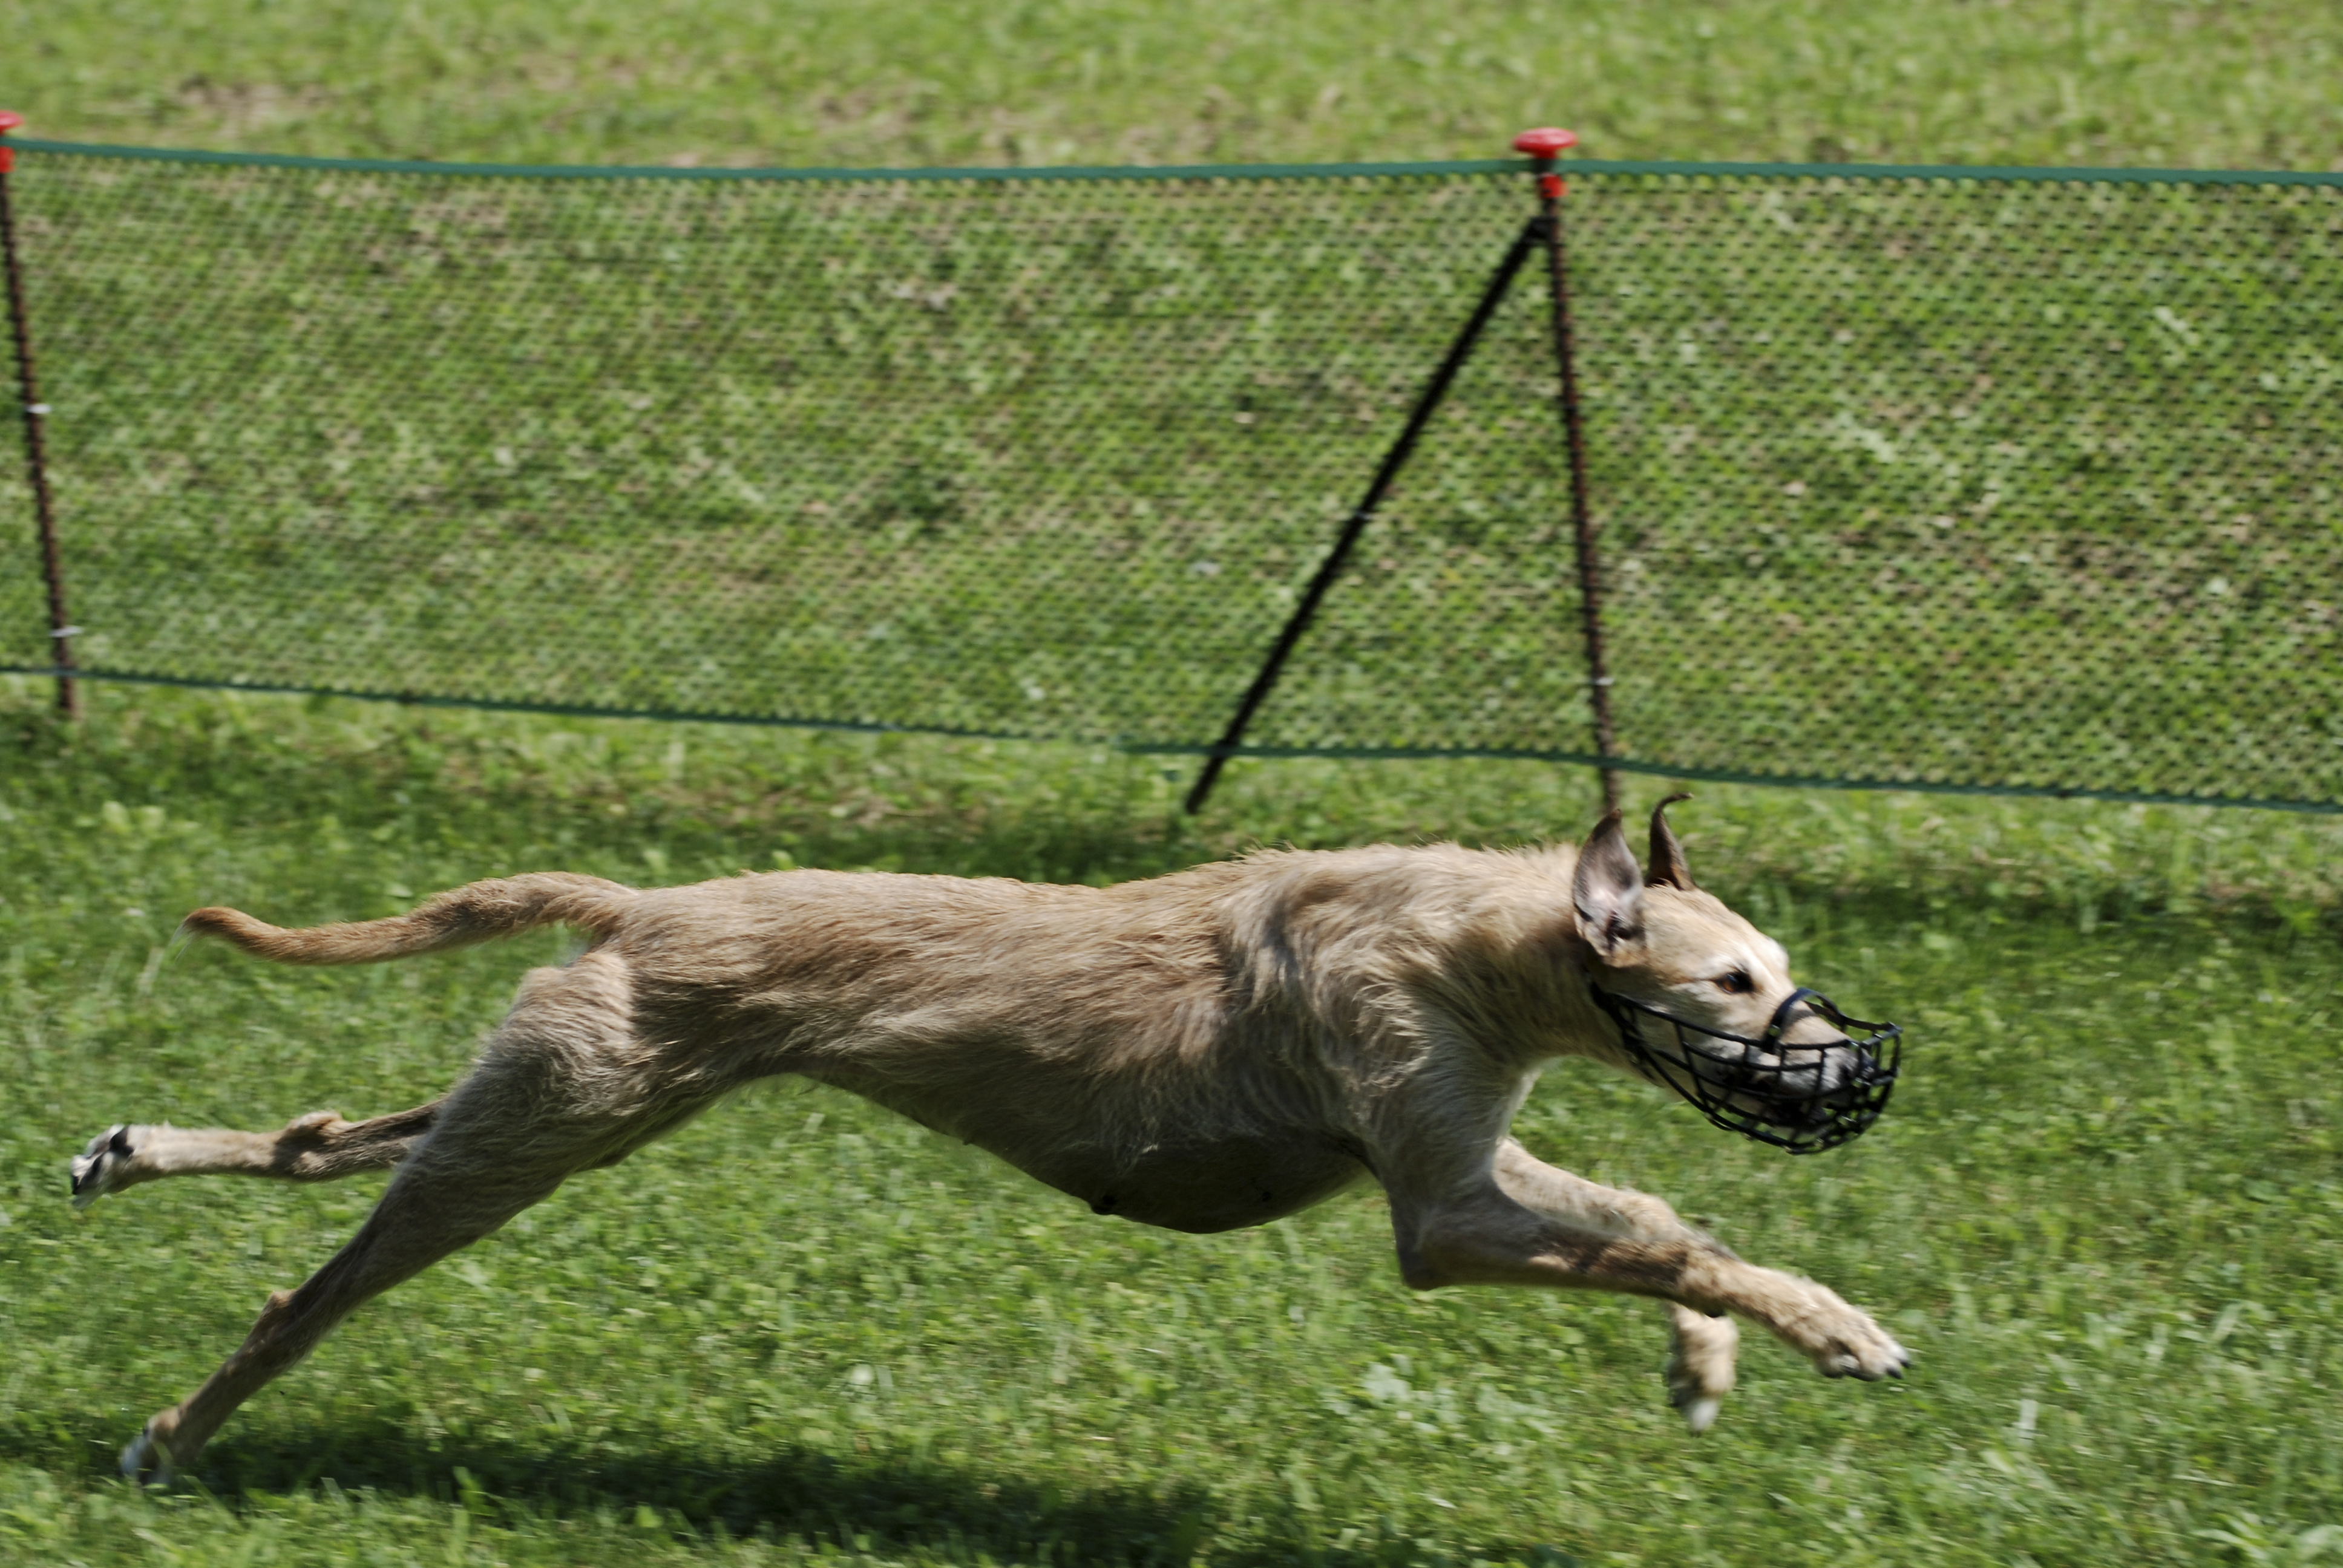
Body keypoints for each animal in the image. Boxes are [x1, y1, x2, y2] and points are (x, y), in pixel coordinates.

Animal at [71, 799, 1909, 1483]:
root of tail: (639, 901)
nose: (1848, 1068)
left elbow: (1661, 1215)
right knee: (302, 1296)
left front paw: (1704, 1364)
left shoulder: (1468, 1159)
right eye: (1739, 982)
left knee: (322, 1139)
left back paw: (127, 1154)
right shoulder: (1441, 1212)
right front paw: (1833, 1328)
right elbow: (1673, 1238)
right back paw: (170, 1437)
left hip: (548, 1110)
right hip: (534, 1134)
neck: (1473, 939)